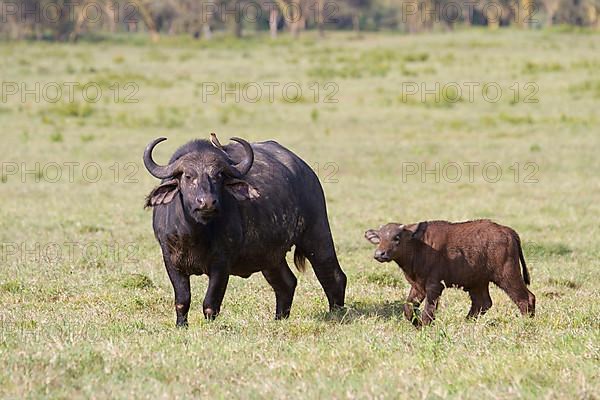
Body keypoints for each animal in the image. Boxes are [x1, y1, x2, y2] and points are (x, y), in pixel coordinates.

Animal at [143, 133, 346, 326]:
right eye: (187, 176)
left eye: (218, 175)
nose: (207, 202)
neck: (195, 233)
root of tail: (306, 172)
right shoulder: (171, 261)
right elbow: (182, 300)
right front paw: (181, 325)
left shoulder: (221, 264)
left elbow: (210, 303)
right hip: (270, 256)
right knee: (286, 283)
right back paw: (279, 318)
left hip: (317, 234)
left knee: (333, 275)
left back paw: (336, 313)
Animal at [364, 220, 536, 326]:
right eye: (379, 237)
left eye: (397, 237)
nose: (380, 254)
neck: (418, 245)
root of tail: (508, 231)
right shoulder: (418, 286)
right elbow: (408, 308)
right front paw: (417, 325)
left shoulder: (434, 286)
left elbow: (428, 311)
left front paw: (424, 327)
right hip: (478, 282)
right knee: (482, 303)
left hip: (507, 275)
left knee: (526, 298)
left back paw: (527, 324)